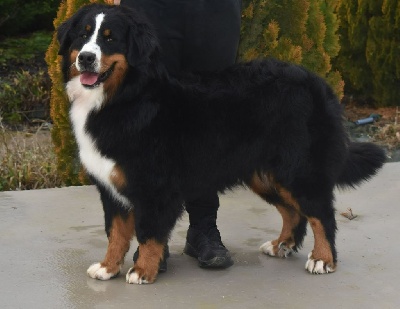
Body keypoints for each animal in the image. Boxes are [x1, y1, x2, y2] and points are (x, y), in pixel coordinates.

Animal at [57, 4, 386, 284]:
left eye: (110, 39)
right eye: (83, 35)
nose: (86, 58)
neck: (125, 99)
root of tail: (317, 81)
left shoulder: (155, 187)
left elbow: (149, 233)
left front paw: (142, 271)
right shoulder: (111, 186)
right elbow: (116, 233)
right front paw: (107, 267)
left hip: (299, 169)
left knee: (321, 214)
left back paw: (322, 259)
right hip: (266, 175)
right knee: (293, 212)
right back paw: (281, 244)